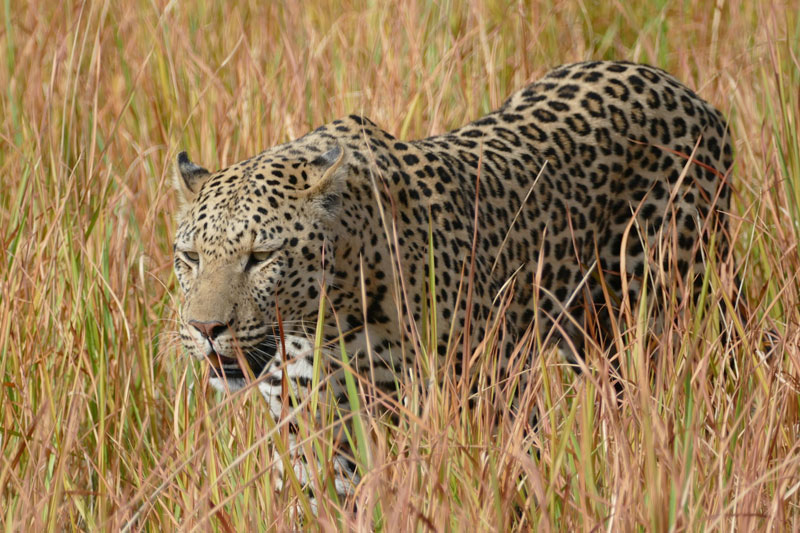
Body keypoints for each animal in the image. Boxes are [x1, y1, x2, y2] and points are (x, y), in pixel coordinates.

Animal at [172, 60, 733, 503]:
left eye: (261, 257)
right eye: (191, 257)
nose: (205, 329)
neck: (333, 322)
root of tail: (688, 93)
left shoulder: (488, 399)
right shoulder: (316, 435)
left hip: (668, 316)